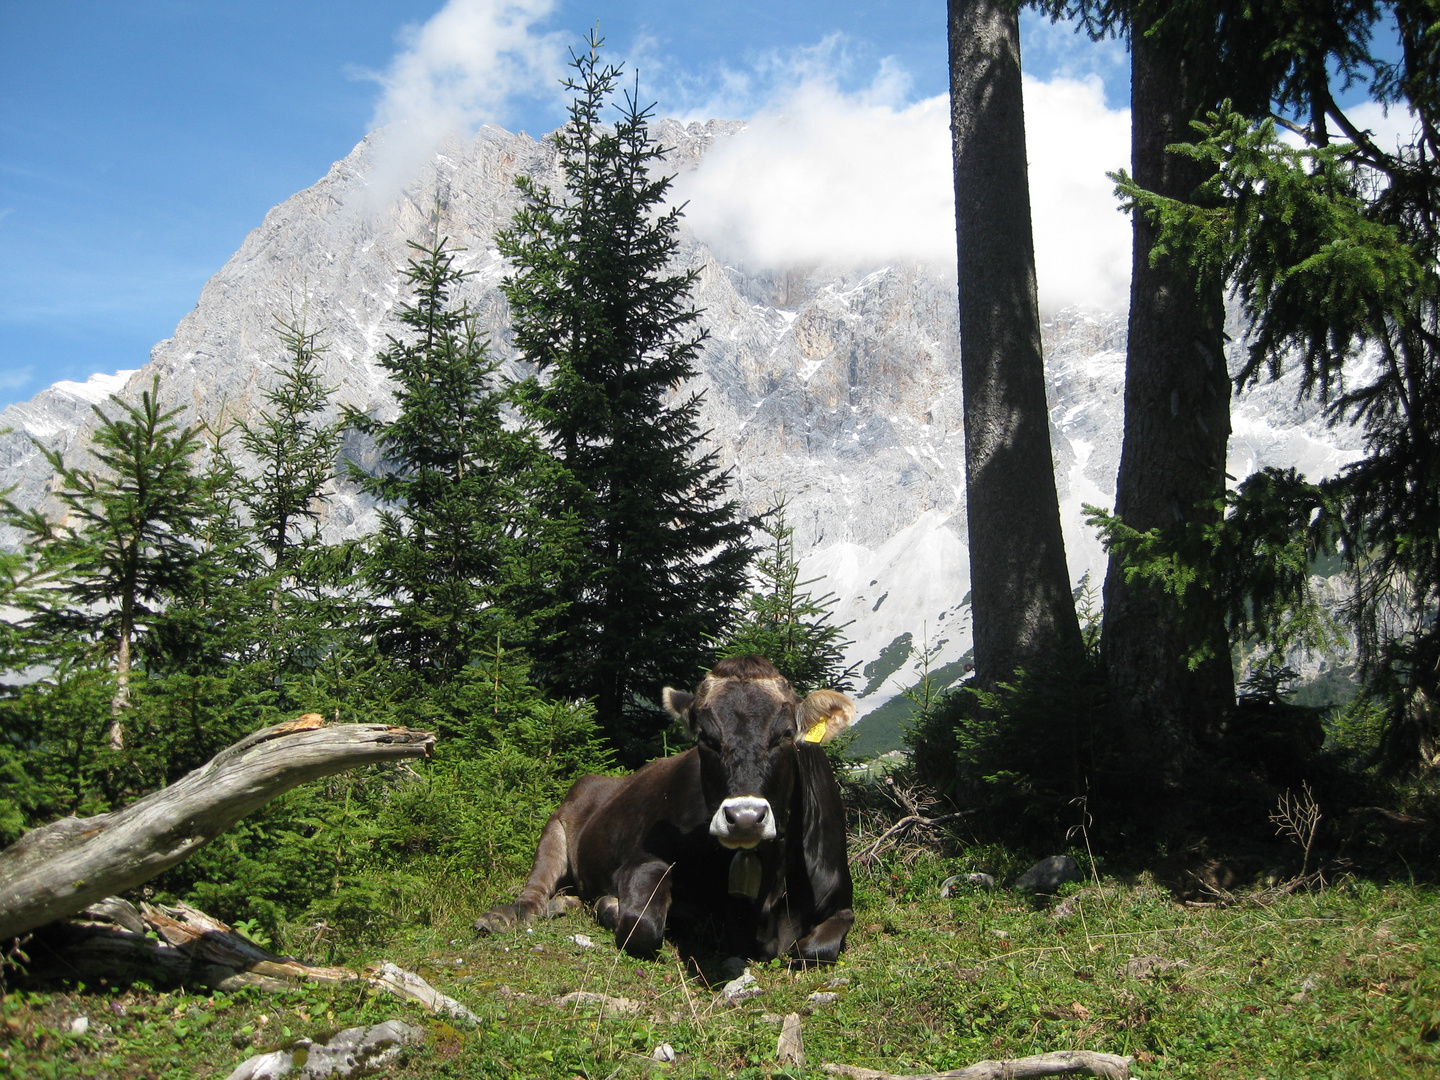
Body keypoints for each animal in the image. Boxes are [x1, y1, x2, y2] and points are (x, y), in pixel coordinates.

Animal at [472, 659, 852, 961]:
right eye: (705, 738)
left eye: (785, 735)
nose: (744, 817)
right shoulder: (642, 860)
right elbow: (641, 927)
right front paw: (610, 906)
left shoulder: (841, 902)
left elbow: (814, 949)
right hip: (555, 829)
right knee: (534, 893)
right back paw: (504, 916)